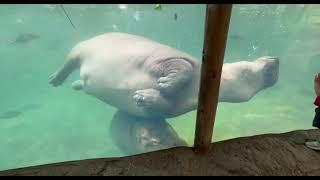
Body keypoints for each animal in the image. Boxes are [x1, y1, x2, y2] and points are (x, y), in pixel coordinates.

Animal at [48, 32, 278, 119]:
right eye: (248, 66)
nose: (275, 59)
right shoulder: (167, 58)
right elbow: (183, 66)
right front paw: (165, 84)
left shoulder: (176, 108)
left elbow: (163, 104)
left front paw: (143, 97)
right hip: (82, 48)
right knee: (69, 62)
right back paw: (54, 80)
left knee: (81, 80)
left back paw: (73, 84)